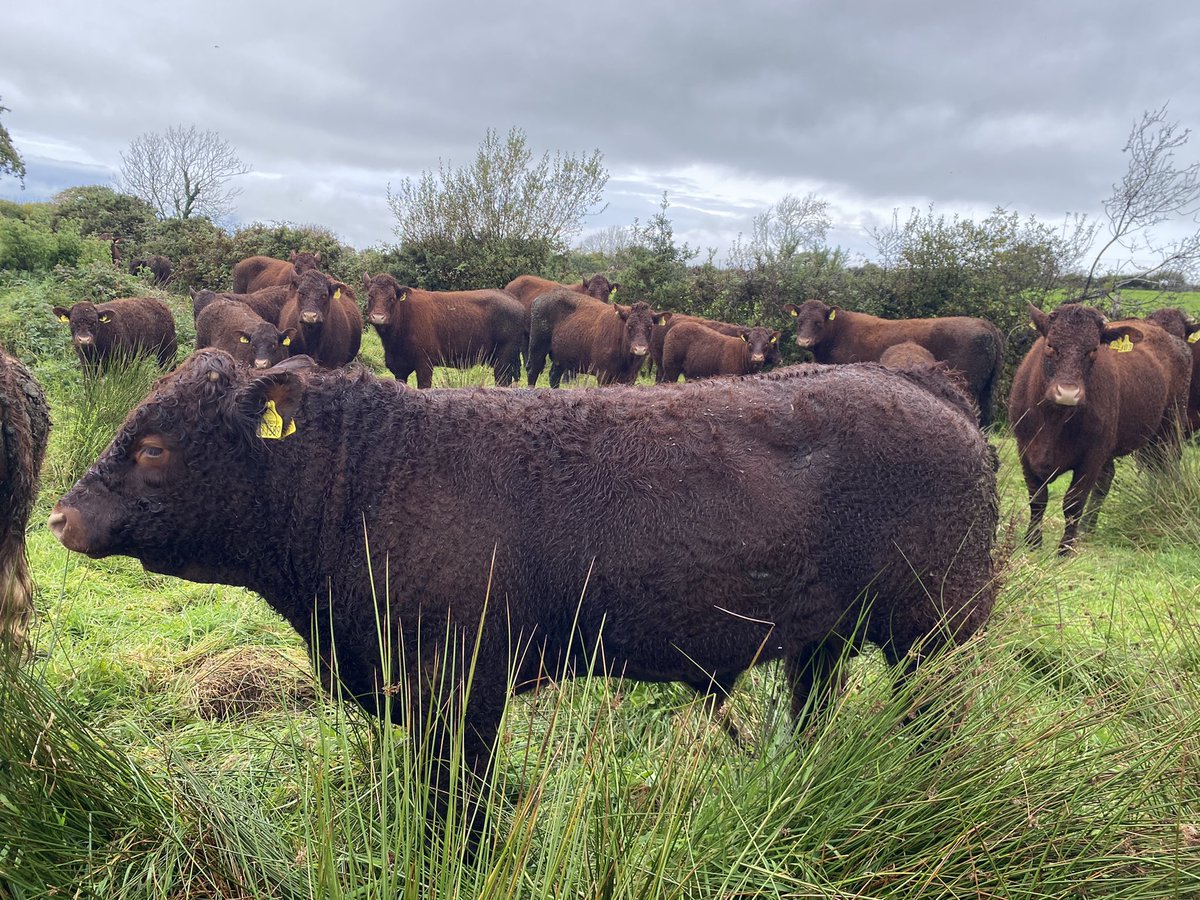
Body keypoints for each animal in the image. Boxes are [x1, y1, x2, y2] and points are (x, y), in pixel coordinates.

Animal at [49, 350, 998, 836]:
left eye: (156, 445)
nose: (62, 514)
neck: (369, 476)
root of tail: (922, 386)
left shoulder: (462, 687)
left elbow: (453, 809)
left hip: (929, 637)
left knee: (935, 730)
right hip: (821, 641)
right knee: (812, 715)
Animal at [362, 273, 525, 388]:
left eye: (391, 298)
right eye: (370, 295)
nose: (378, 317)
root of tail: (513, 299)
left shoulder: (424, 365)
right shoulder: (399, 369)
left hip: (503, 360)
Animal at [527, 291, 666, 387]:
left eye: (650, 327)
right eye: (629, 326)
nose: (640, 349)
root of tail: (538, 299)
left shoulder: (630, 376)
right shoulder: (604, 374)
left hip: (559, 359)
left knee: (554, 376)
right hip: (537, 349)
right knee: (533, 371)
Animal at [784, 300, 1005, 427]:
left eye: (818, 322)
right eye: (799, 321)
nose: (803, 341)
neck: (836, 333)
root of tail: (984, 323)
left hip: (966, 385)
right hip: (988, 389)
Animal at [1008, 303, 1191, 554]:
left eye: (1093, 349)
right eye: (1050, 345)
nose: (1068, 393)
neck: (1054, 420)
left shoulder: (1091, 457)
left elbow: (1073, 502)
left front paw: (1065, 548)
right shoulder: (1025, 449)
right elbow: (1037, 498)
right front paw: (1033, 542)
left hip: (1171, 426)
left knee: (1167, 466)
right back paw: (1089, 527)